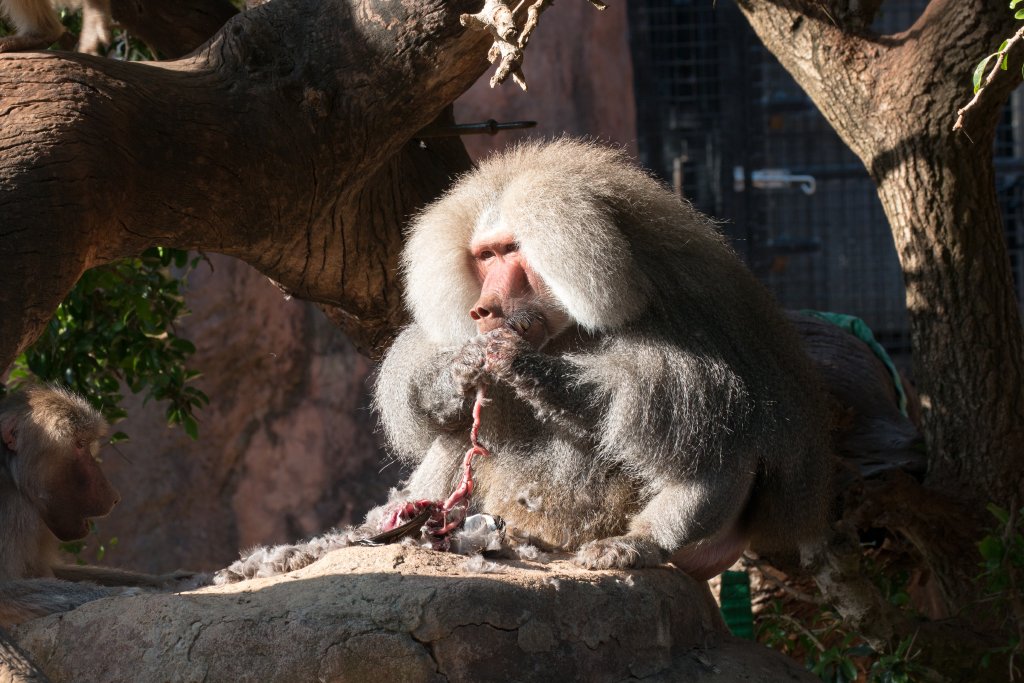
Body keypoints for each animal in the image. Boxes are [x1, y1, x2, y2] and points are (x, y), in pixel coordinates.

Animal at [0, 385, 202, 626]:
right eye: (79, 444)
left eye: (86, 443)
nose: (114, 497)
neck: (10, 472)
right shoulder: (12, 508)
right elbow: (5, 591)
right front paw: (121, 594)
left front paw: (167, 581)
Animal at [214, 138, 832, 584]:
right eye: (482, 257)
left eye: (511, 252)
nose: (483, 310)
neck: (568, 324)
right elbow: (440, 392)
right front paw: (458, 371)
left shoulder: (690, 320)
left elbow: (710, 426)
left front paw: (524, 365)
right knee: (458, 437)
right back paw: (354, 537)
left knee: (700, 444)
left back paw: (634, 542)